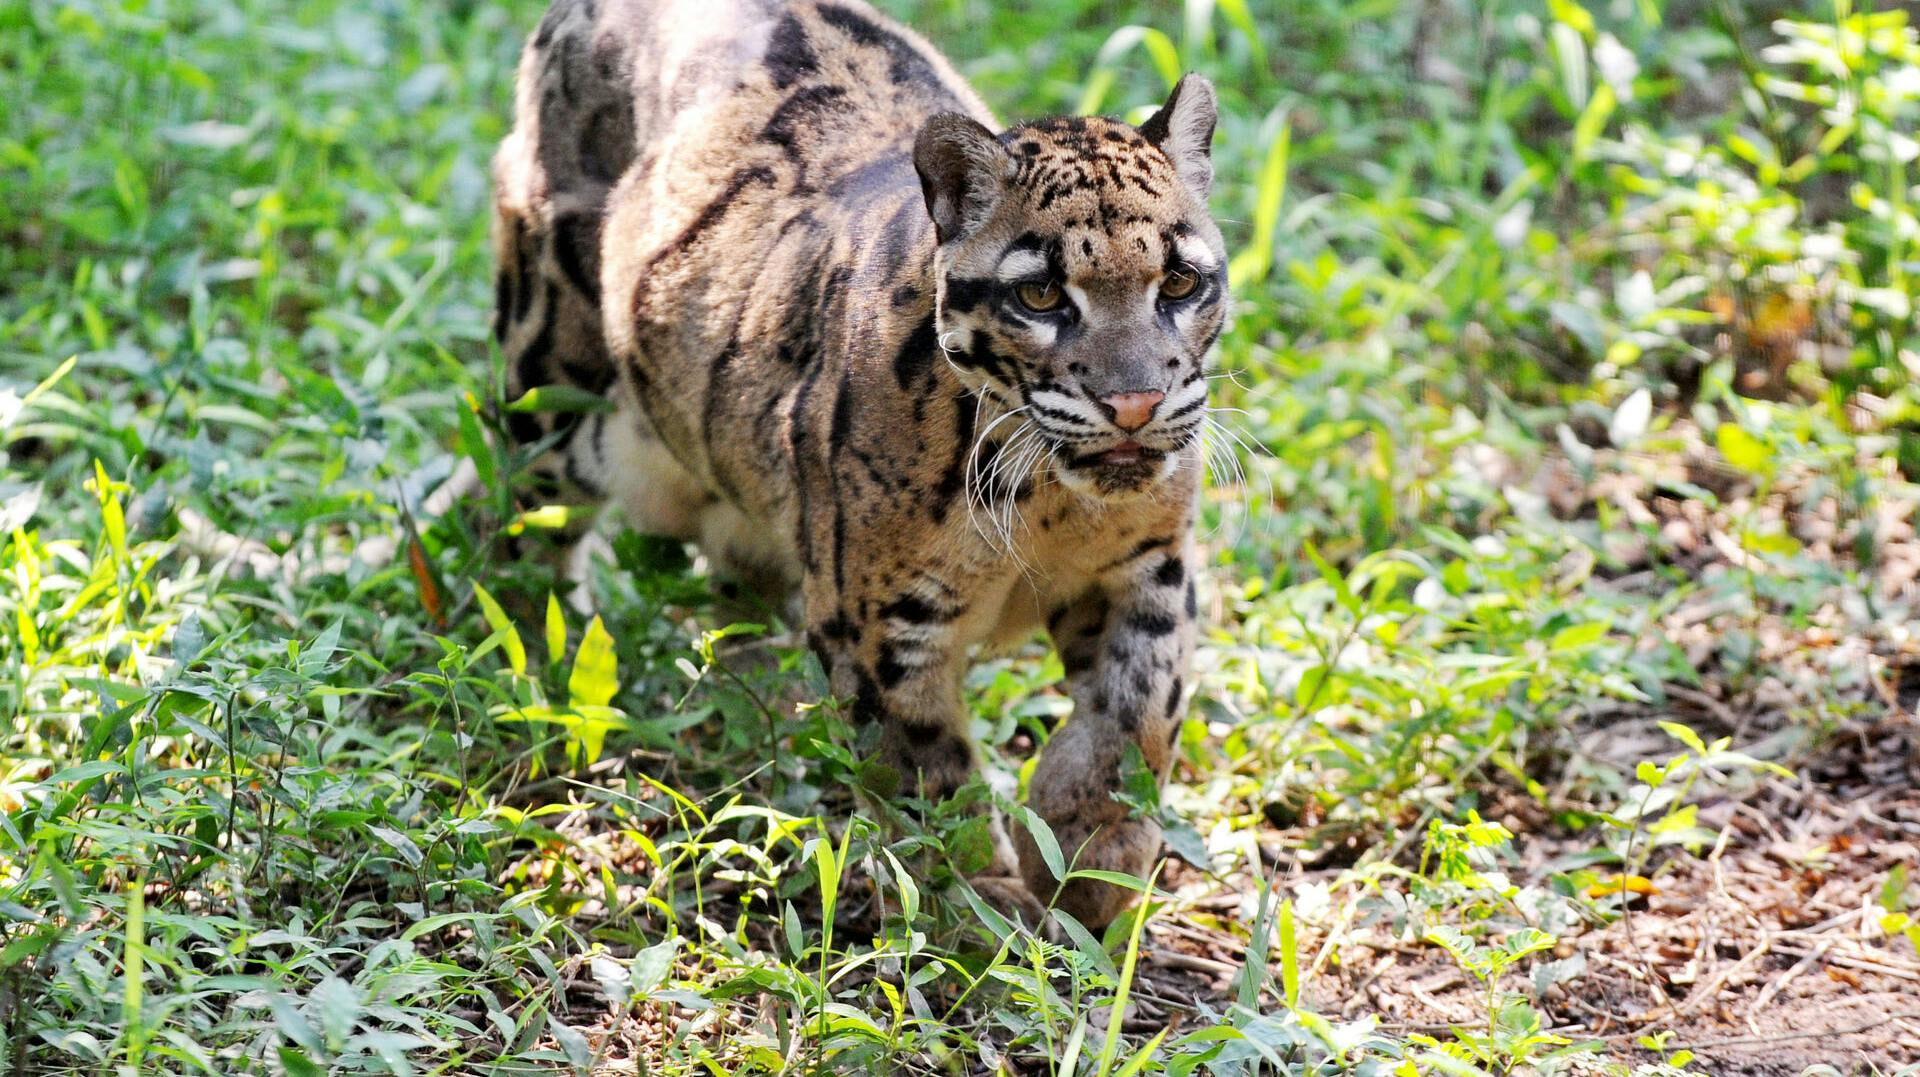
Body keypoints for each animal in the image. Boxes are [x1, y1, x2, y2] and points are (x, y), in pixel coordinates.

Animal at [490, 0, 1228, 929]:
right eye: (1041, 296)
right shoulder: (878, 623)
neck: (1048, 499)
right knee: (515, 517)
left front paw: (1094, 848)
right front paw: (980, 904)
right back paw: (526, 655)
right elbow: (929, 773)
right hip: (556, 389)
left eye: (1179, 282)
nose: (1133, 404)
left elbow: (1140, 708)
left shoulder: (1149, 567)